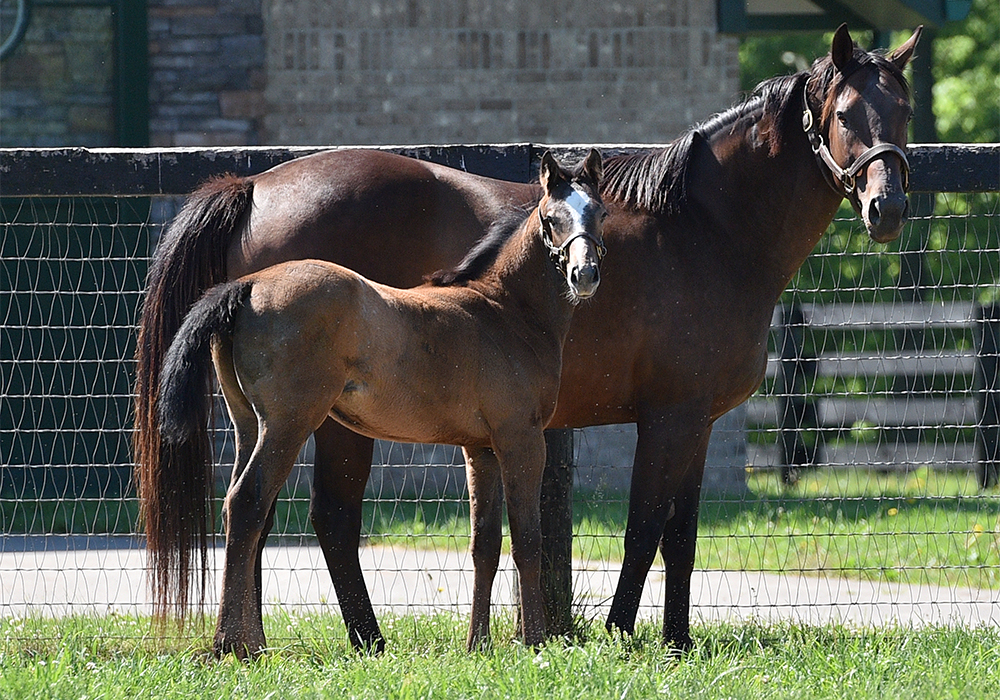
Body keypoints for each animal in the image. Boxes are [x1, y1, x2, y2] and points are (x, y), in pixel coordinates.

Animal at [160, 152, 604, 656]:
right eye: (551, 219)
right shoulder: (521, 440)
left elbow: (485, 544)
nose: (584, 274)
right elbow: (528, 540)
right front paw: (536, 642)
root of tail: (248, 285)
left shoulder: (481, 449)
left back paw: (242, 642)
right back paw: (236, 646)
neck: (502, 310)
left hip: (247, 424)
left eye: (600, 213)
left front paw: (478, 644)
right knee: (248, 502)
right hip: (289, 423)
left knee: (240, 510)